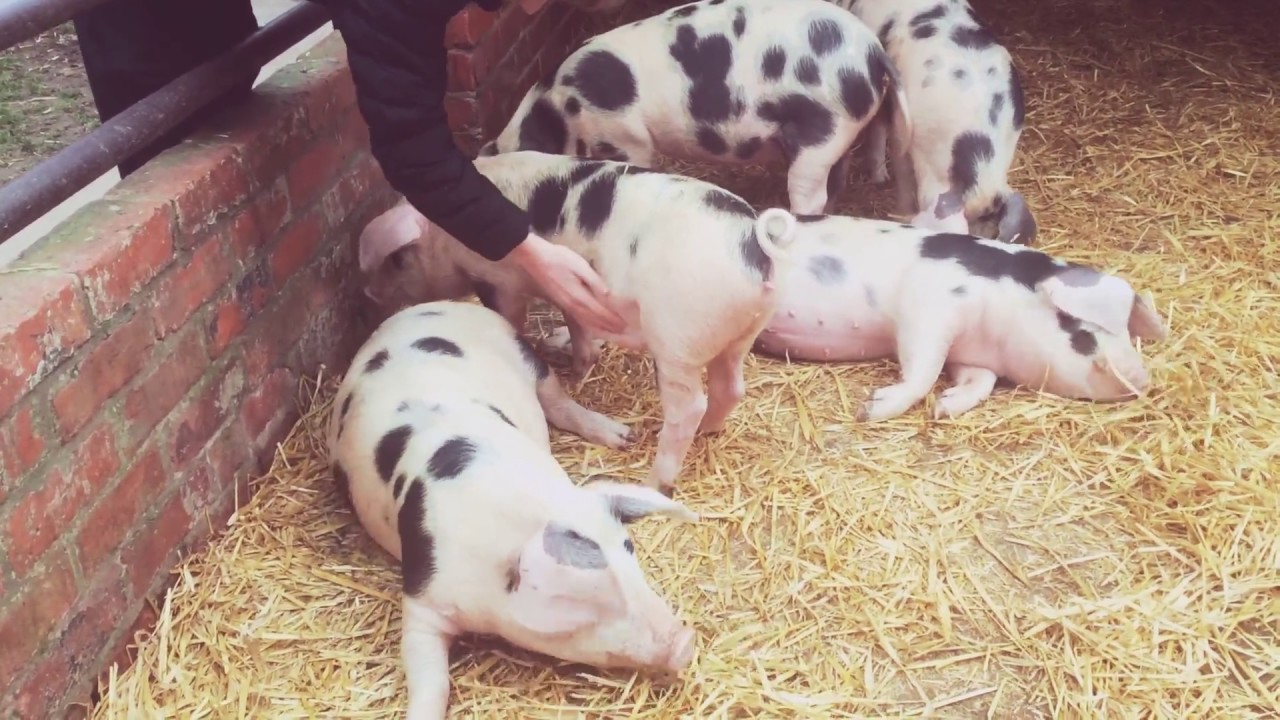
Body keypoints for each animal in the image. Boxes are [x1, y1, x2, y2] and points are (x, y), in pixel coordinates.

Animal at [327, 299, 701, 720]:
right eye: (583, 601)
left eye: (631, 557)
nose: (685, 642)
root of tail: (433, 305)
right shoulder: (423, 593)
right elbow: (431, 679)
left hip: (526, 356)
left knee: (558, 400)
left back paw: (623, 436)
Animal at [357, 151, 800, 496]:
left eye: (398, 260)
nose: (370, 297)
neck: (448, 233)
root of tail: (752, 245)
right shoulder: (574, 289)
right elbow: (578, 327)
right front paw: (578, 363)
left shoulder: (500, 281)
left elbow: (510, 314)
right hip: (741, 335)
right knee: (730, 388)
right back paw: (710, 430)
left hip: (678, 341)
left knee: (690, 406)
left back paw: (653, 482)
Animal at [478, 0, 913, 216]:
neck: (559, 108)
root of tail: (873, 51)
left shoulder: (623, 136)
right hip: (834, 135)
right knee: (834, 184)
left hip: (822, 130)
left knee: (811, 194)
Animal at [752, 214, 1167, 421]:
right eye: (1081, 333)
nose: (1141, 379)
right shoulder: (927, 304)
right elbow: (922, 371)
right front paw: (868, 412)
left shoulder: (969, 357)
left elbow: (980, 381)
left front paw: (943, 409)